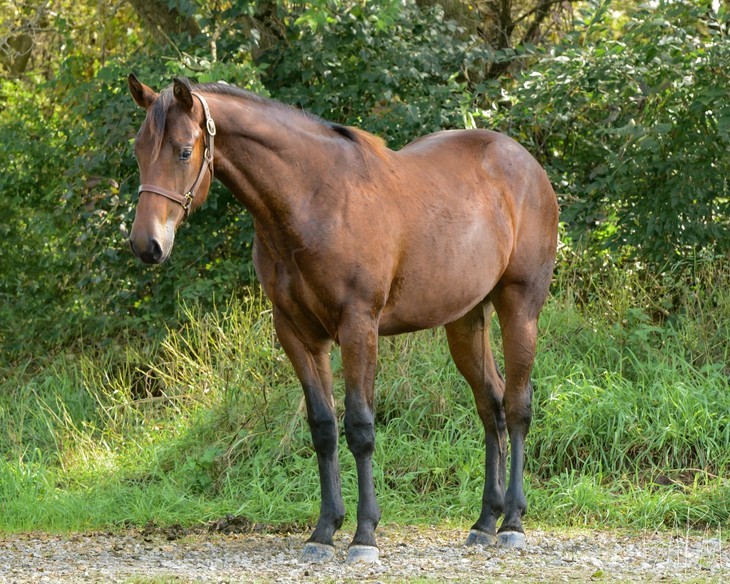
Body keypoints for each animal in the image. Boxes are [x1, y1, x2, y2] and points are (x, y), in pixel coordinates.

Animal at [127, 75, 559, 563]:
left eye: (184, 151)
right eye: (139, 150)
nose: (146, 244)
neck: (314, 200)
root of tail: (525, 163)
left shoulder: (358, 326)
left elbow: (360, 427)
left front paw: (364, 534)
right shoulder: (297, 334)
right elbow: (323, 428)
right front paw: (323, 531)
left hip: (520, 307)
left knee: (518, 406)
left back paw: (513, 522)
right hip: (466, 321)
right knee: (492, 406)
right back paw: (485, 521)